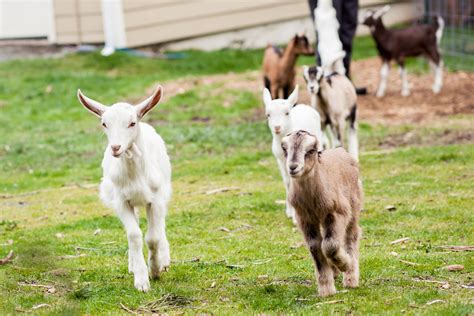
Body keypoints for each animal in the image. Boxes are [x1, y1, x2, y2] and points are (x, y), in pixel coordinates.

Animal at [282, 130, 362, 296]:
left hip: (353, 203)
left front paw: (343, 264)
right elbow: (315, 246)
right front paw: (326, 290)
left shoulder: (337, 212)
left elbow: (330, 245)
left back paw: (350, 277)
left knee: (351, 235)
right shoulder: (305, 218)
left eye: (311, 150)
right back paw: (335, 271)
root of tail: (340, 150)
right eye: (284, 149)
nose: (293, 167)